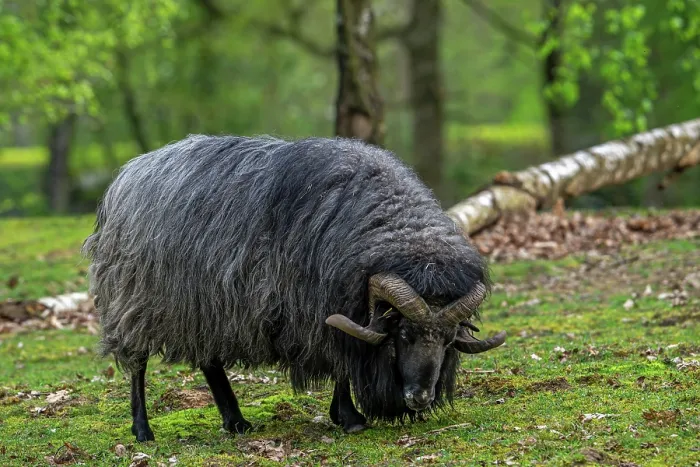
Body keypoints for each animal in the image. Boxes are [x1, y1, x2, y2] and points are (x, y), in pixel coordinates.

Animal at [82, 134, 506, 441]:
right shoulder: (319, 308)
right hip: (135, 301)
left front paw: (345, 414)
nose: (419, 399)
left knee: (210, 361)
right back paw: (143, 431)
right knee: (137, 365)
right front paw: (349, 417)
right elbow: (340, 363)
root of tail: (129, 173)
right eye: (403, 334)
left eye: (448, 340)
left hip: (206, 306)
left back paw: (236, 422)